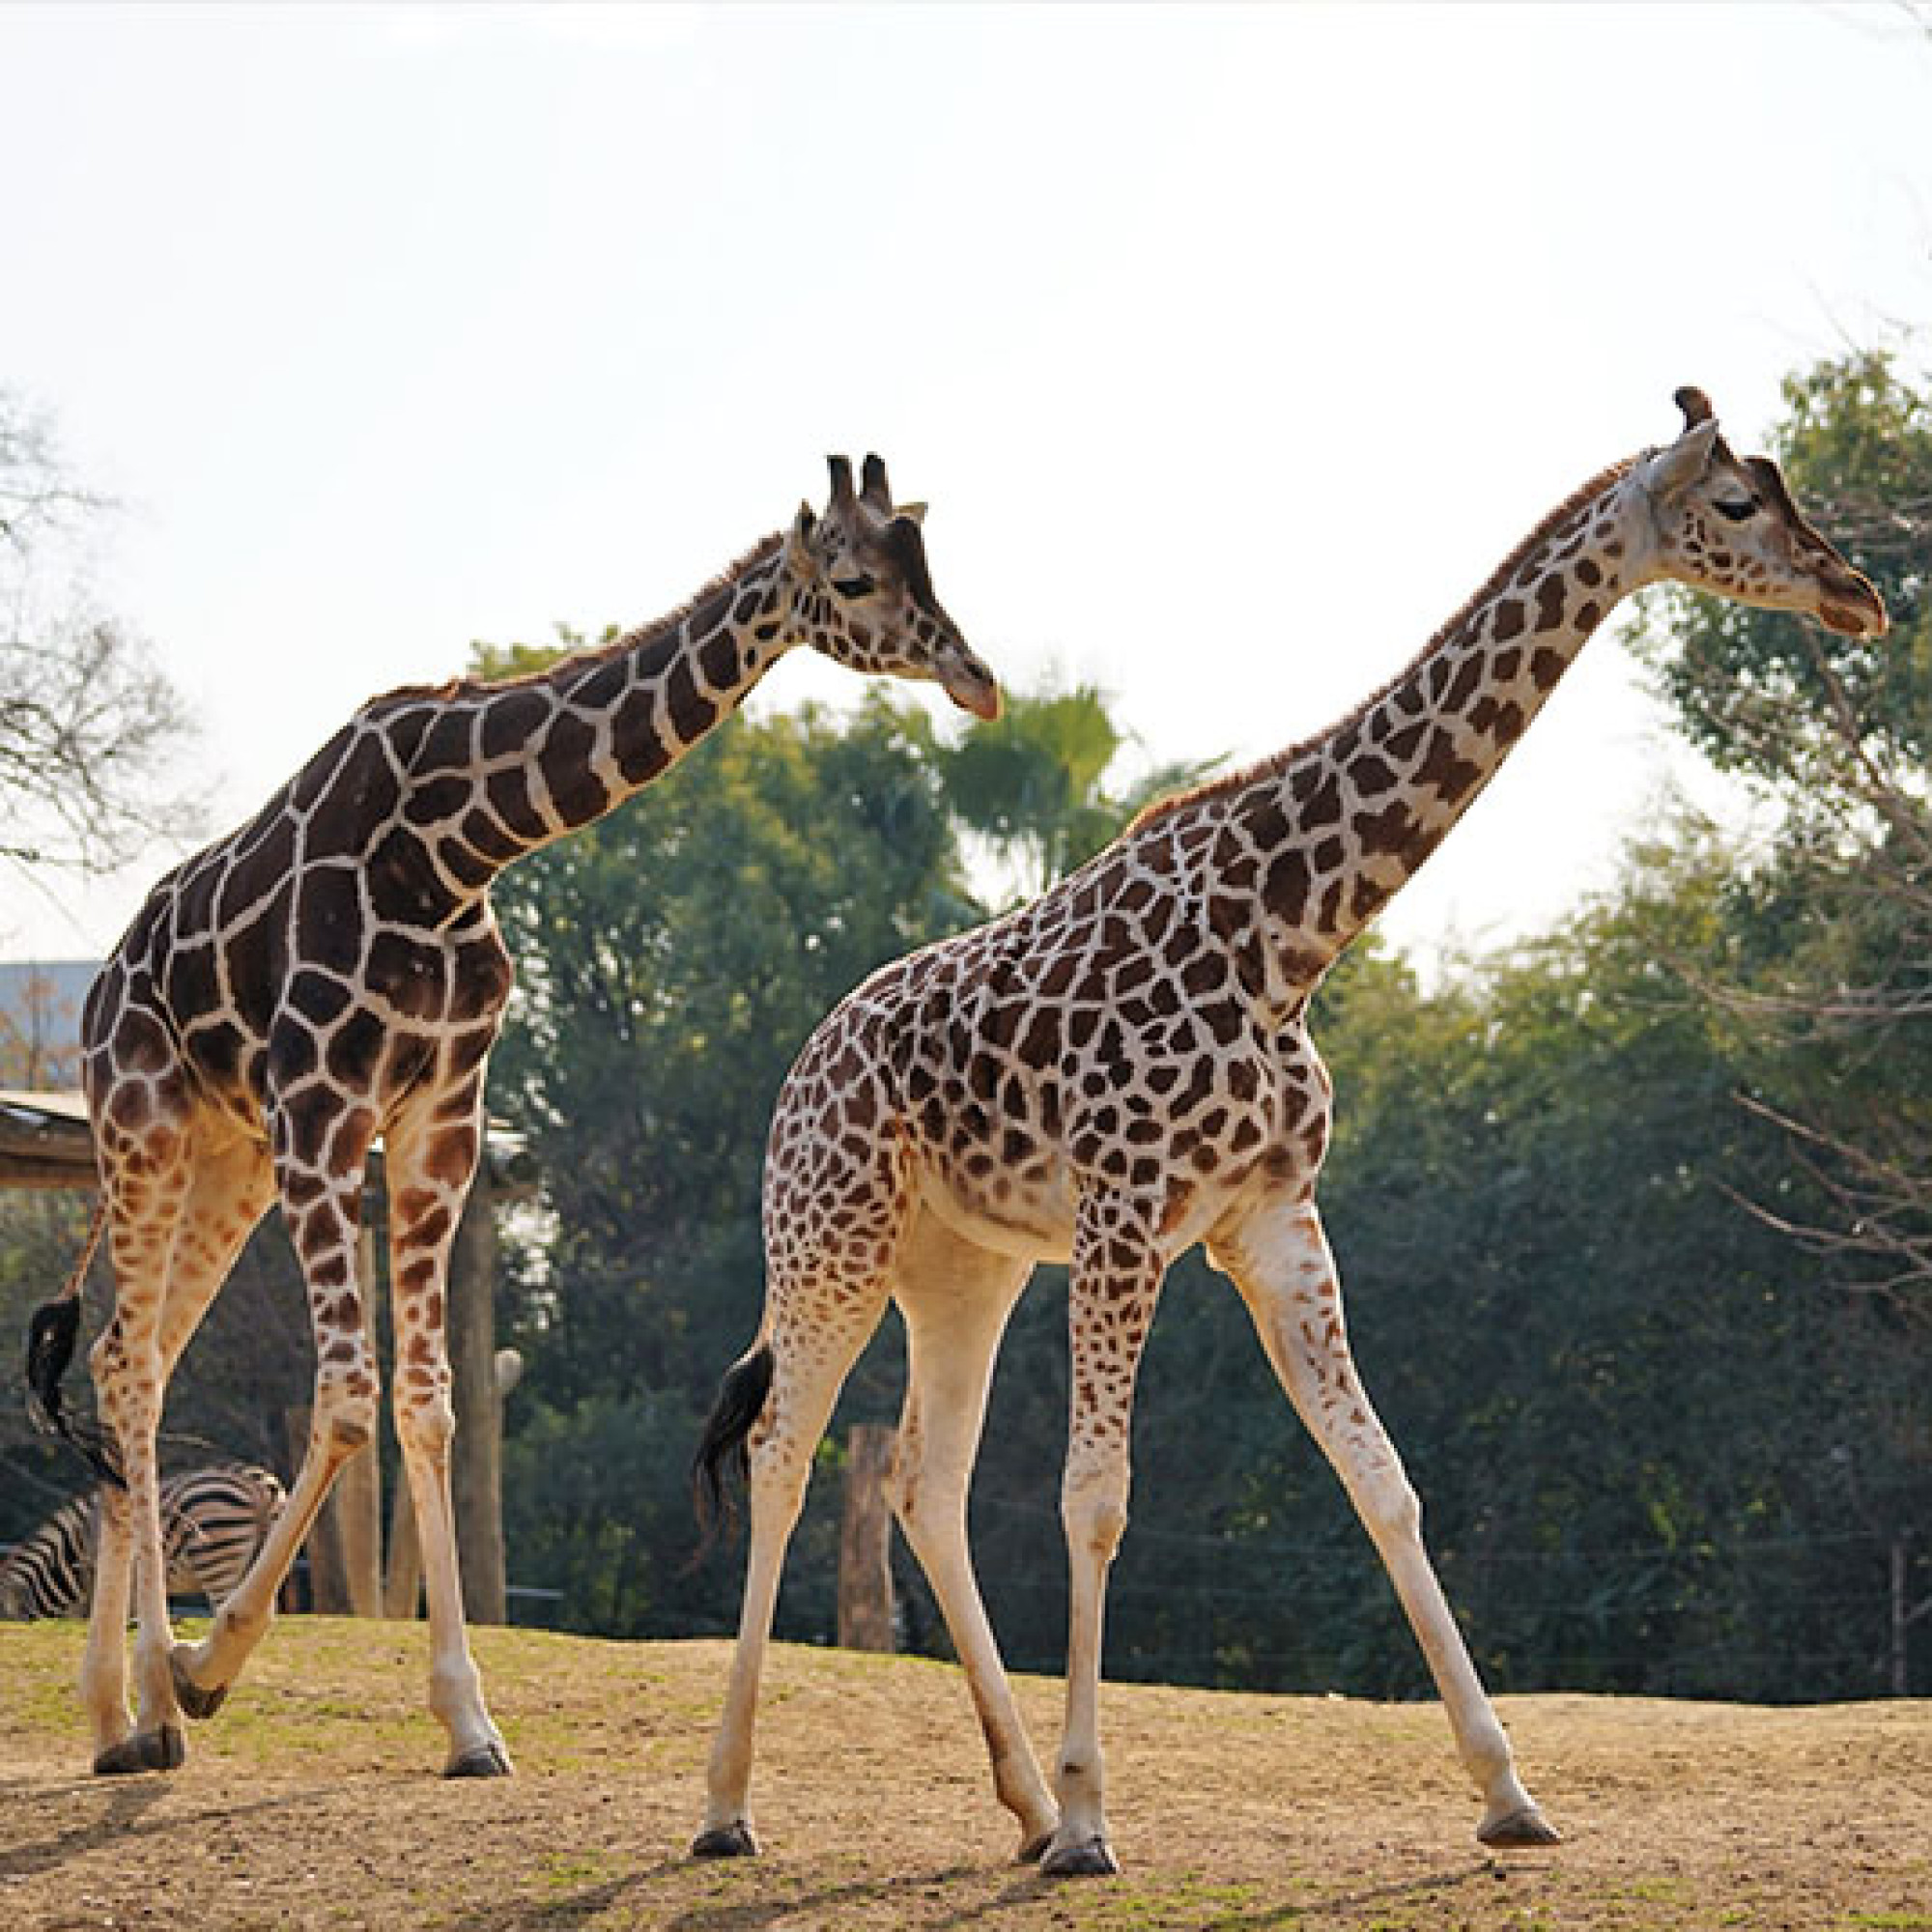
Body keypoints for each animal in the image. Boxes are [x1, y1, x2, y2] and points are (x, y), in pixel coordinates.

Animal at [30, 452, 1005, 1777]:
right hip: (146, 1127)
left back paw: (113, 1710)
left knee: (136, 1356)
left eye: (927, 562)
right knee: (130, 1368)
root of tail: (99, 983)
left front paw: (466, 1719)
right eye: (854, 579)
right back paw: (150, 1706)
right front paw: (206, 1662)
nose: (977, 679)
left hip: (227, 1160)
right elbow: (351, 1396)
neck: (456, 845)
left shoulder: (439, 1113)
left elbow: (430, 1402)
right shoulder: (320, 1104)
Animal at [692, 384, 1886, 1878]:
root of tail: (797, 1073)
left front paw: (1509, 1791)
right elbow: (1097, 1495)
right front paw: (1095, 1818)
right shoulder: (1127, 1212)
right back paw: (734, 1807)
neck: (1291, 935)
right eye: (1734, 504)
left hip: (964, 1268)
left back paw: (1015, 1803)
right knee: (784, 1453)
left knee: (920, 1479)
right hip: (830, 1240)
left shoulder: (1271, 1218)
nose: (1857, 594)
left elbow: (1385, 1481)